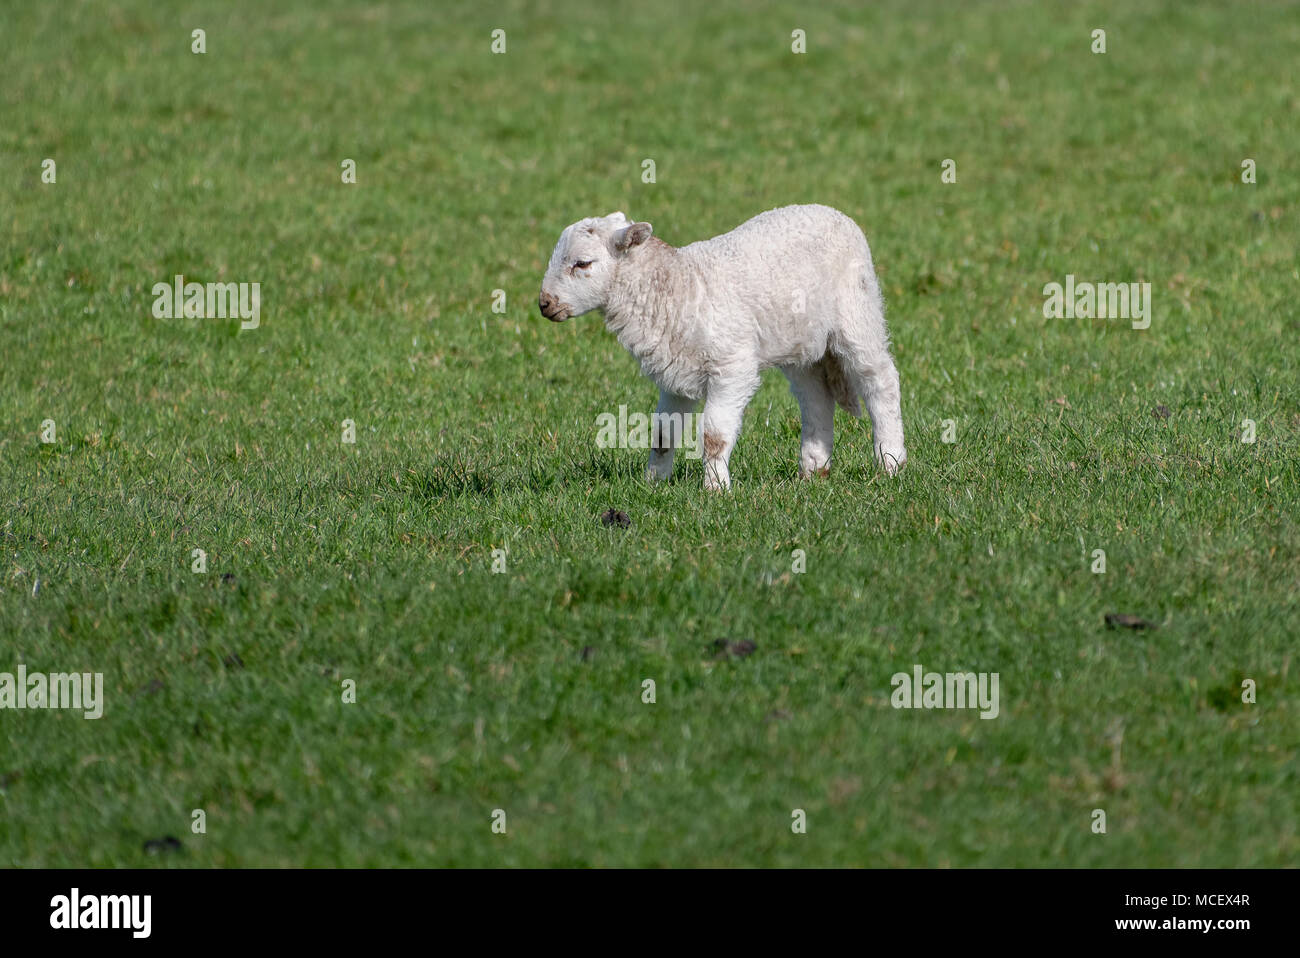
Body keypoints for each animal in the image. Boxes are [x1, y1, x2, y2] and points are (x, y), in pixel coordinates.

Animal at [538, 204, 906, 489]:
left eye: (583, 264)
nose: (544, 304)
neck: (676, 286)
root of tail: (833, 212)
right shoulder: (674, 372)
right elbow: (663, 432)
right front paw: (653, 483)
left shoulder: (732, 366)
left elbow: (714, 435)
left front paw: (715, 487)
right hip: (801, 343)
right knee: (815, 397)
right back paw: (813, 469)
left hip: (857, 312)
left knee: (880, 380)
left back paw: (891, 462)